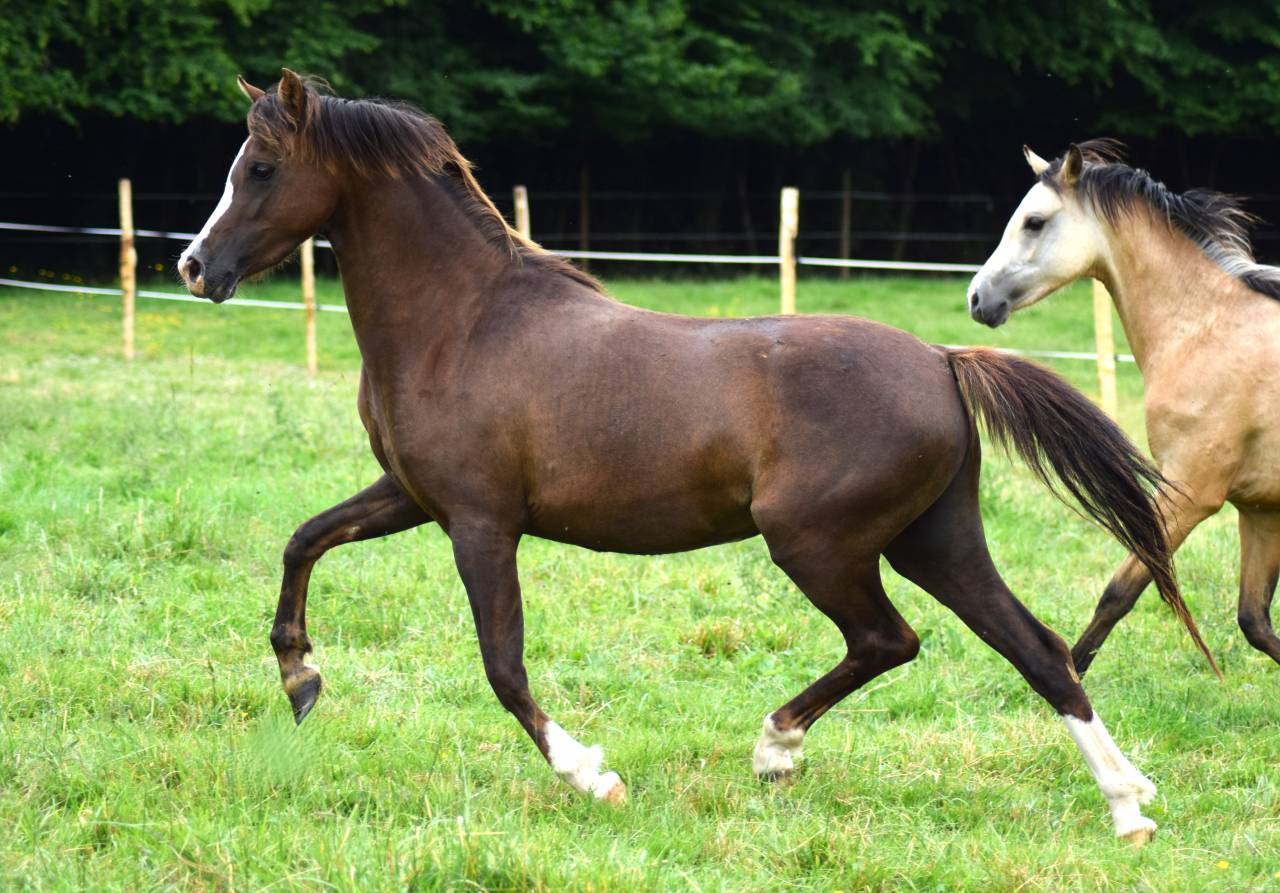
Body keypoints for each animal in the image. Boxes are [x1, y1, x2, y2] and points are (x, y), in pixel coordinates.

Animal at [178, 71, 1206, 844]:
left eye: (260, 167)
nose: (195, 267)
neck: (464, 322)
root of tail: (942, 359)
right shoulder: (410, 494)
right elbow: (304, 540)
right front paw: (301, 680)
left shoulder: (479, 521)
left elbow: (502, 665)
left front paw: (592, 775)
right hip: (934, 538)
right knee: (1037, 649)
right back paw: (1128, 808)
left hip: (818, 542)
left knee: (891, 639)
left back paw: (775, 747)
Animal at [969, 139, 1280, 675]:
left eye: (1034, 222)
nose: (976, 298)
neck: (1205, 329)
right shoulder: (1260, 509)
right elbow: (1255, 621)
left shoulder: (1191, 494)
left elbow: (1118, 592)